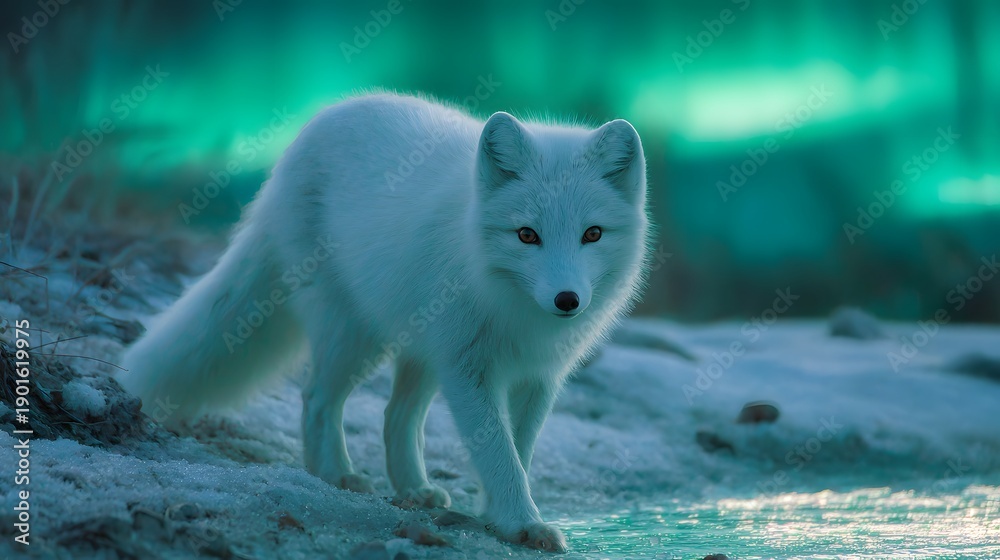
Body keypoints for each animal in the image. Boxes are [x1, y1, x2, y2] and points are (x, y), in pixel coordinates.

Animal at [121, 93, 651, 552]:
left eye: (592, 234)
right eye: (526, 235)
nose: (567, 300)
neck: (513, 305)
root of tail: (310, 132)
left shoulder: (537, 376)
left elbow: (518, 451)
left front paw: (500, 515)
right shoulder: (469, 370)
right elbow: (500, 454)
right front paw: (520, 522)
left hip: (422, 351)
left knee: (396, 415)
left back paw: (414, 488)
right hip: (354, 336)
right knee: (317, 399)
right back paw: (335, 474)